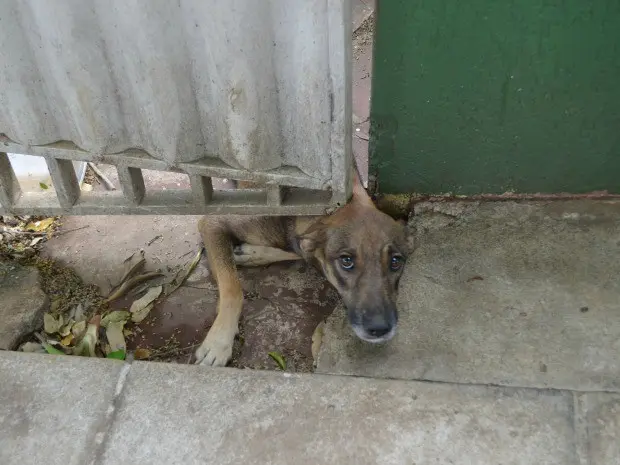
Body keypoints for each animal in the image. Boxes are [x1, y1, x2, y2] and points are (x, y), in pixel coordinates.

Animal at [194, 167, 406, 366]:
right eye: (346, 261)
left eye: (396, 262)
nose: (380, 329)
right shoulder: (213, 222)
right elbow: (233, 289)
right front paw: (219, 342)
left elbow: (296, 250)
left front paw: (253, 254)